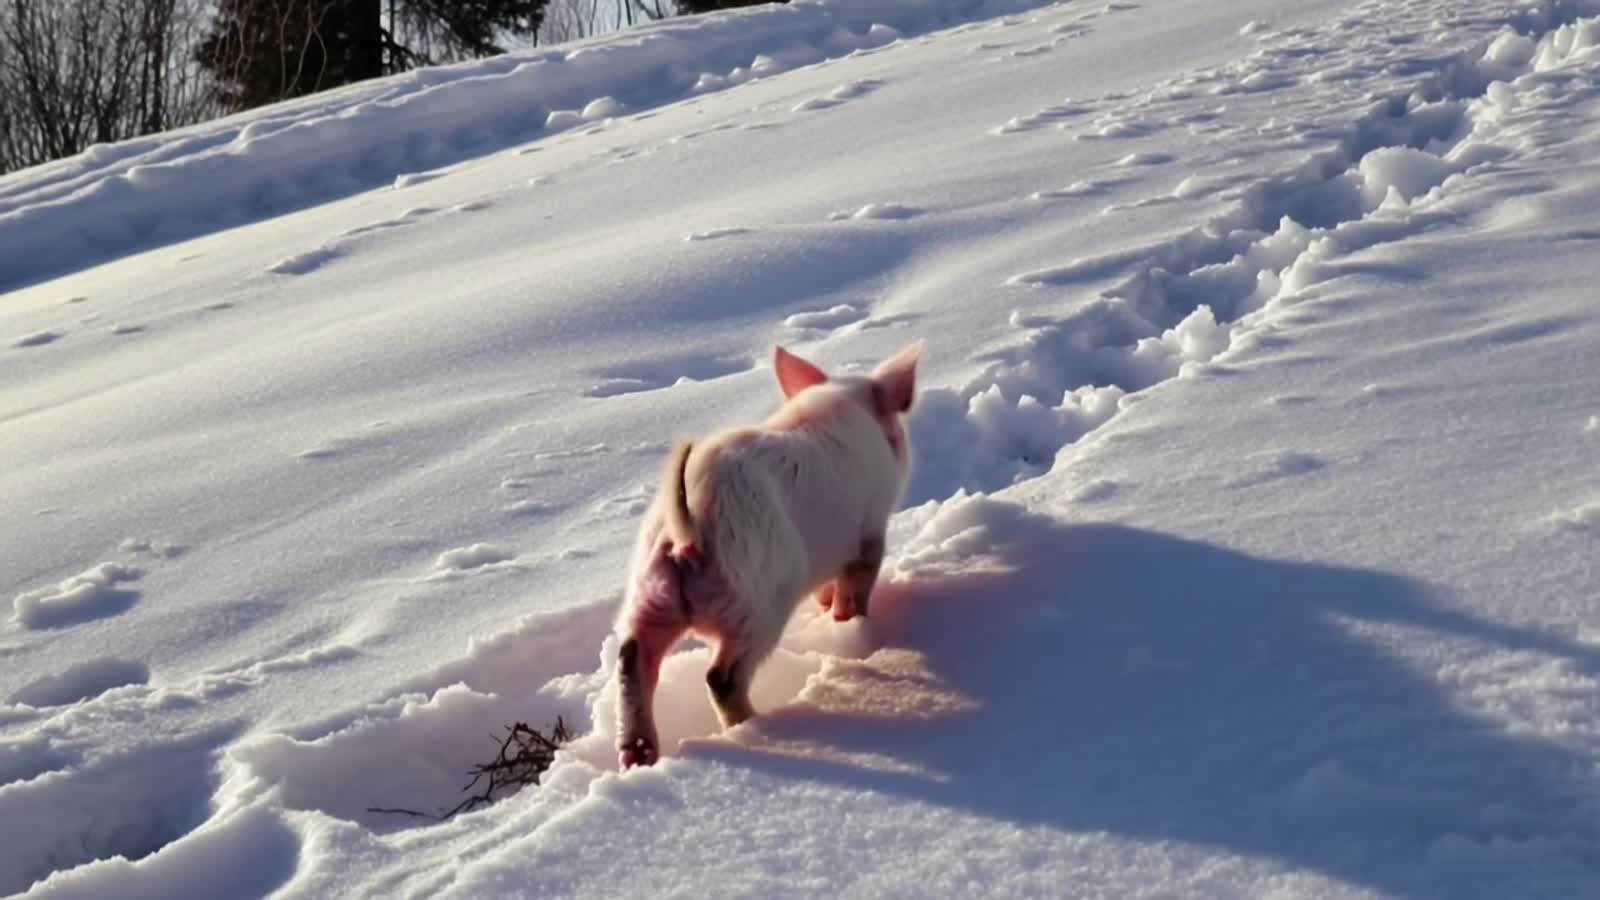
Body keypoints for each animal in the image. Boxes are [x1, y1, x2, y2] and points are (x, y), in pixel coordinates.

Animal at [613, 341, 922, 768]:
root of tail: (689, 526)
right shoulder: (869, 531)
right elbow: (855, 590)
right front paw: (853, 628)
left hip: (651, 591)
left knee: (632, 655)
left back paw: (638, 757)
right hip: (755, 601)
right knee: (721, 677)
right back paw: (753, 726)